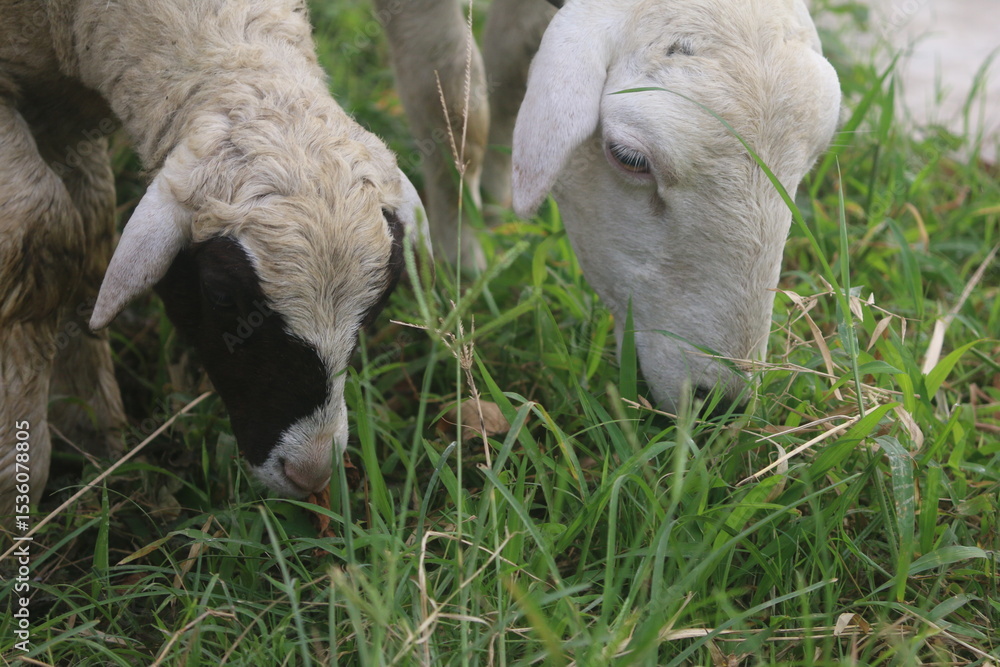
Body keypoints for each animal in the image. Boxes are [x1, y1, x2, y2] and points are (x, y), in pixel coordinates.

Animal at [0, 0, 425, 521]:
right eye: (221, 294)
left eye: (380, 302)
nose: (310, 474)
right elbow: (45, 233)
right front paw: (19, 475)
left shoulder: (66, 107)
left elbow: (91, 229)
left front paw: (86, 425)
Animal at [378, 0, 841, 413]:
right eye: (629, 157)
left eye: (808, 166)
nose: (721, 403)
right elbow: (452, 101)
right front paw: (460, 250)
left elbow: (512, 65)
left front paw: (492, 203)